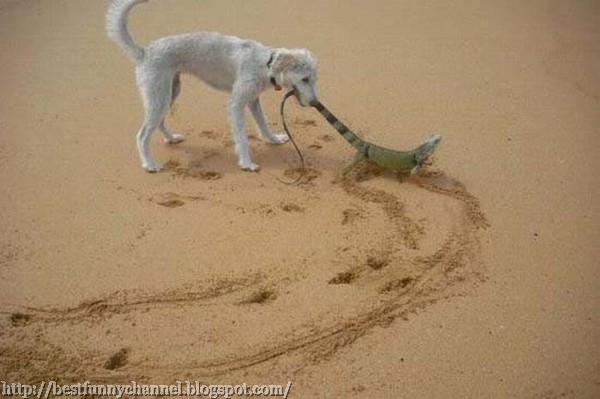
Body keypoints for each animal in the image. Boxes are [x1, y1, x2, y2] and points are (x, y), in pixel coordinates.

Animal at [106, 0, 318, 173]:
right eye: (305, 79)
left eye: (314, 79)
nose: (315, 102)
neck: (266, 64)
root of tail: (144, 52)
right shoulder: (236, 104)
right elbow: (242, 137)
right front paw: (247, 163)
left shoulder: (252, 100)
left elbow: (263, 124)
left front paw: (274, 140)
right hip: (158, 97)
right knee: (142, 135)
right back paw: (150, 165)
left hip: (169, 93)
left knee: (158, 123)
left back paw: (171, 139)